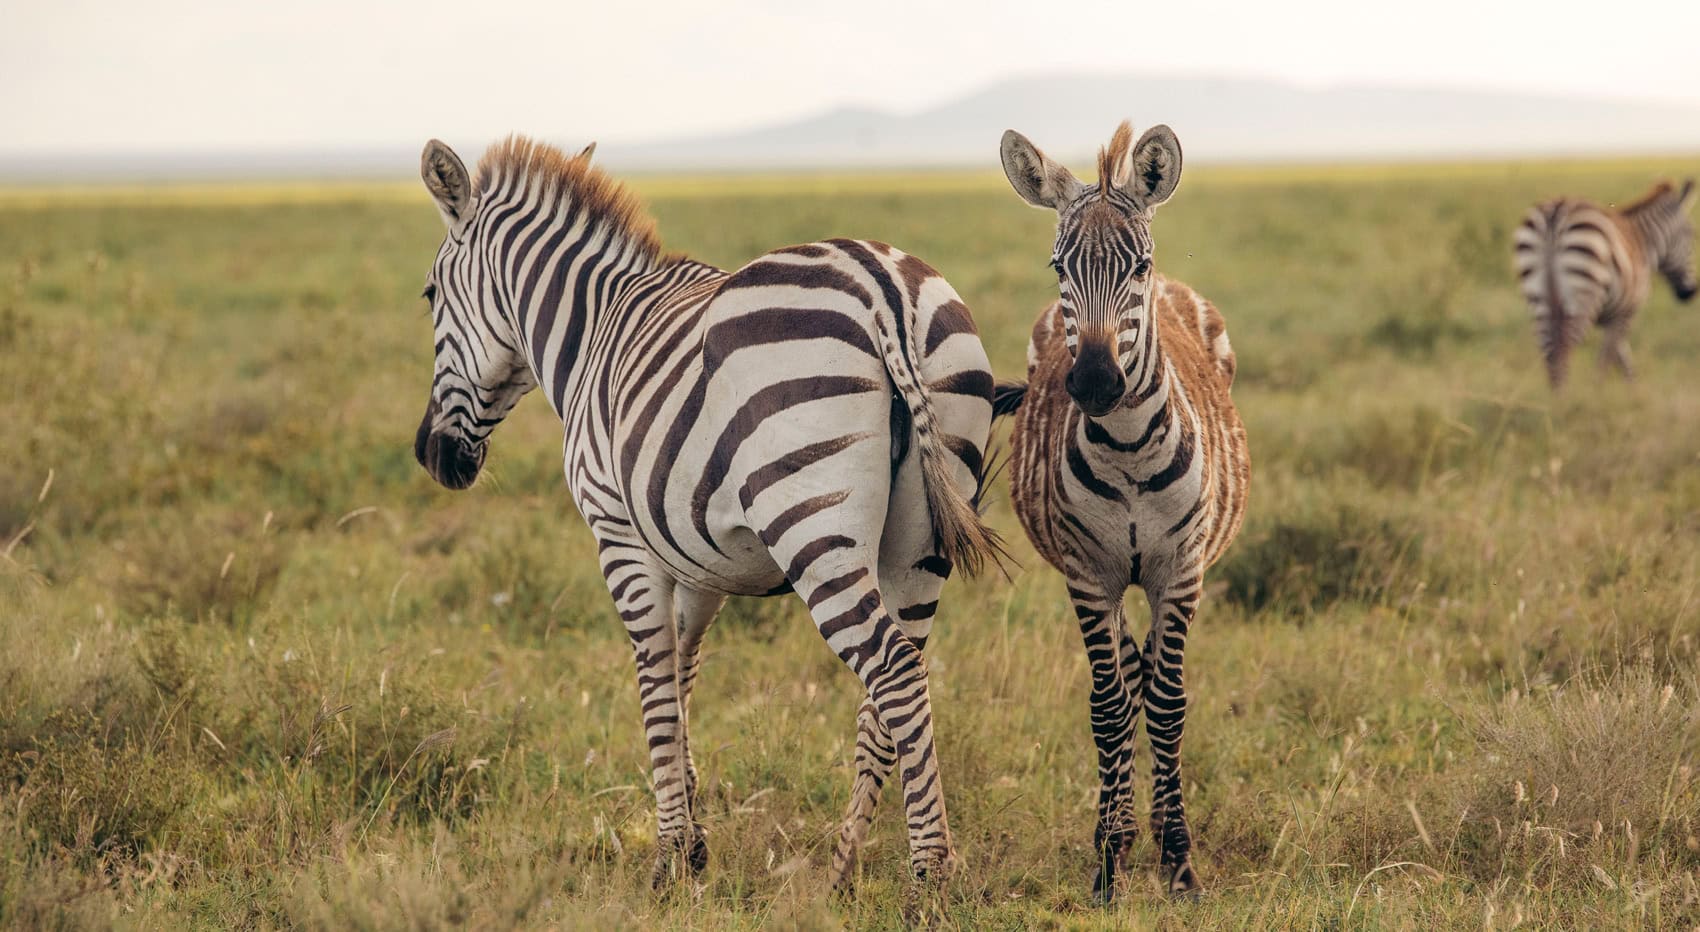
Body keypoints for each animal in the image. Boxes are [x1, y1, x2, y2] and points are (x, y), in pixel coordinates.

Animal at [411, 135, 1001, 890]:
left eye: (430, 294)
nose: (433, 456)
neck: (594, 331)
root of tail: (884, 288)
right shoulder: (697, 559)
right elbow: (683, 672)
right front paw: (693, 837)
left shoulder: (619, 535)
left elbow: (654, 679)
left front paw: (668, 857)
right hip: (921, 536)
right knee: (898, 685)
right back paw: (840, 870)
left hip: (814, 526)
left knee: (892, 669)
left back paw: (928, 876)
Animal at [991, 122, 1249, 900]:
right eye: (1058, 267)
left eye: (1137, 266)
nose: (1097, 382)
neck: (1130, 449)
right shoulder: (1087, 574)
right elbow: (1109, 709)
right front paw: (1109, 861)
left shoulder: (1180, 570)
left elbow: (1167, 706)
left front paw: (1180, 863)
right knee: (1130, 678)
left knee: (1152, 680)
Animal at [1514, 179, 1697, 388]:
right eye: (1692, 235)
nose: (1690, 292)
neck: (1644, 242)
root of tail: (1556, 213)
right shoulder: (1626, 312)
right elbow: (1608, 359)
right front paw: (1599, 391)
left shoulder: (1612, 316)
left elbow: (1622, 359)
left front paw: (1631, 390)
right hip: (1582, 294)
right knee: (1564, 350)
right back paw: (1570, 397)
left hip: (1538, 297)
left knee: (1550, 353)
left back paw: (1557, 397)